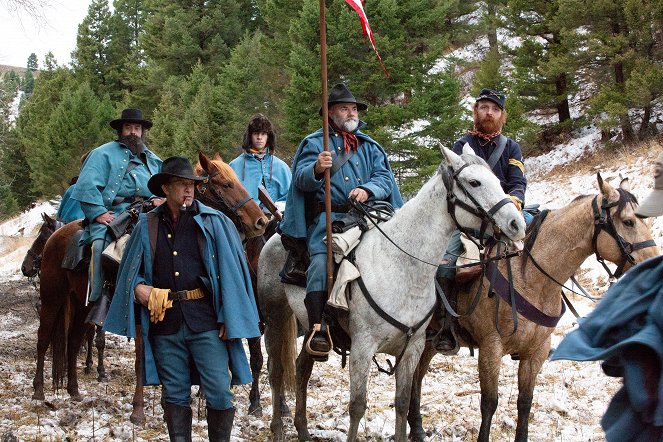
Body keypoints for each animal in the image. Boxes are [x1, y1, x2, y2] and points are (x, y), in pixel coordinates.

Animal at [260, 147, 528, 440]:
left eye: (497, 180)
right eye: (474, 182)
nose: (516, 224)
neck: (402, 265)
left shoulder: (413, 348)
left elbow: (401, 402)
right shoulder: (362, 347)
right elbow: (357, 405)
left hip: (310, 327)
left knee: (301, 369)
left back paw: (303, 430)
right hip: (275, 319)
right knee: (276, 372)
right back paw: (277, 429)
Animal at [408, 173, 660, 442]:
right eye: (628, 222)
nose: (652, 261)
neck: (531, 280)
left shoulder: (536, 352)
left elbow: (525, 402)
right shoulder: (490, 348)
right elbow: (489, 402)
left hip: (428, 343)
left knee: (416, 377)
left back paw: (417, 428)